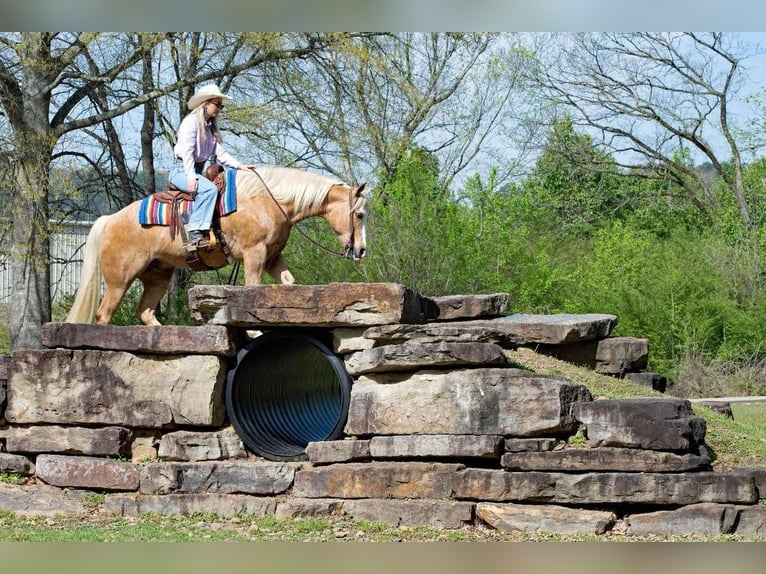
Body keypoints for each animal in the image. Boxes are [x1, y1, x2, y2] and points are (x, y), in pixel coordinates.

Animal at [65, 166, 370, 325]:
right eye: (359, 214)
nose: (361, 250)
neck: (270, 201)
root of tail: (110, 220)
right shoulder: (255, 256)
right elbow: (253, 291)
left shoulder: (272, 258)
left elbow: (288, 282)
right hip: (119, 279)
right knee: (104, 314)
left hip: (158, 276)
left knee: (145, 312)